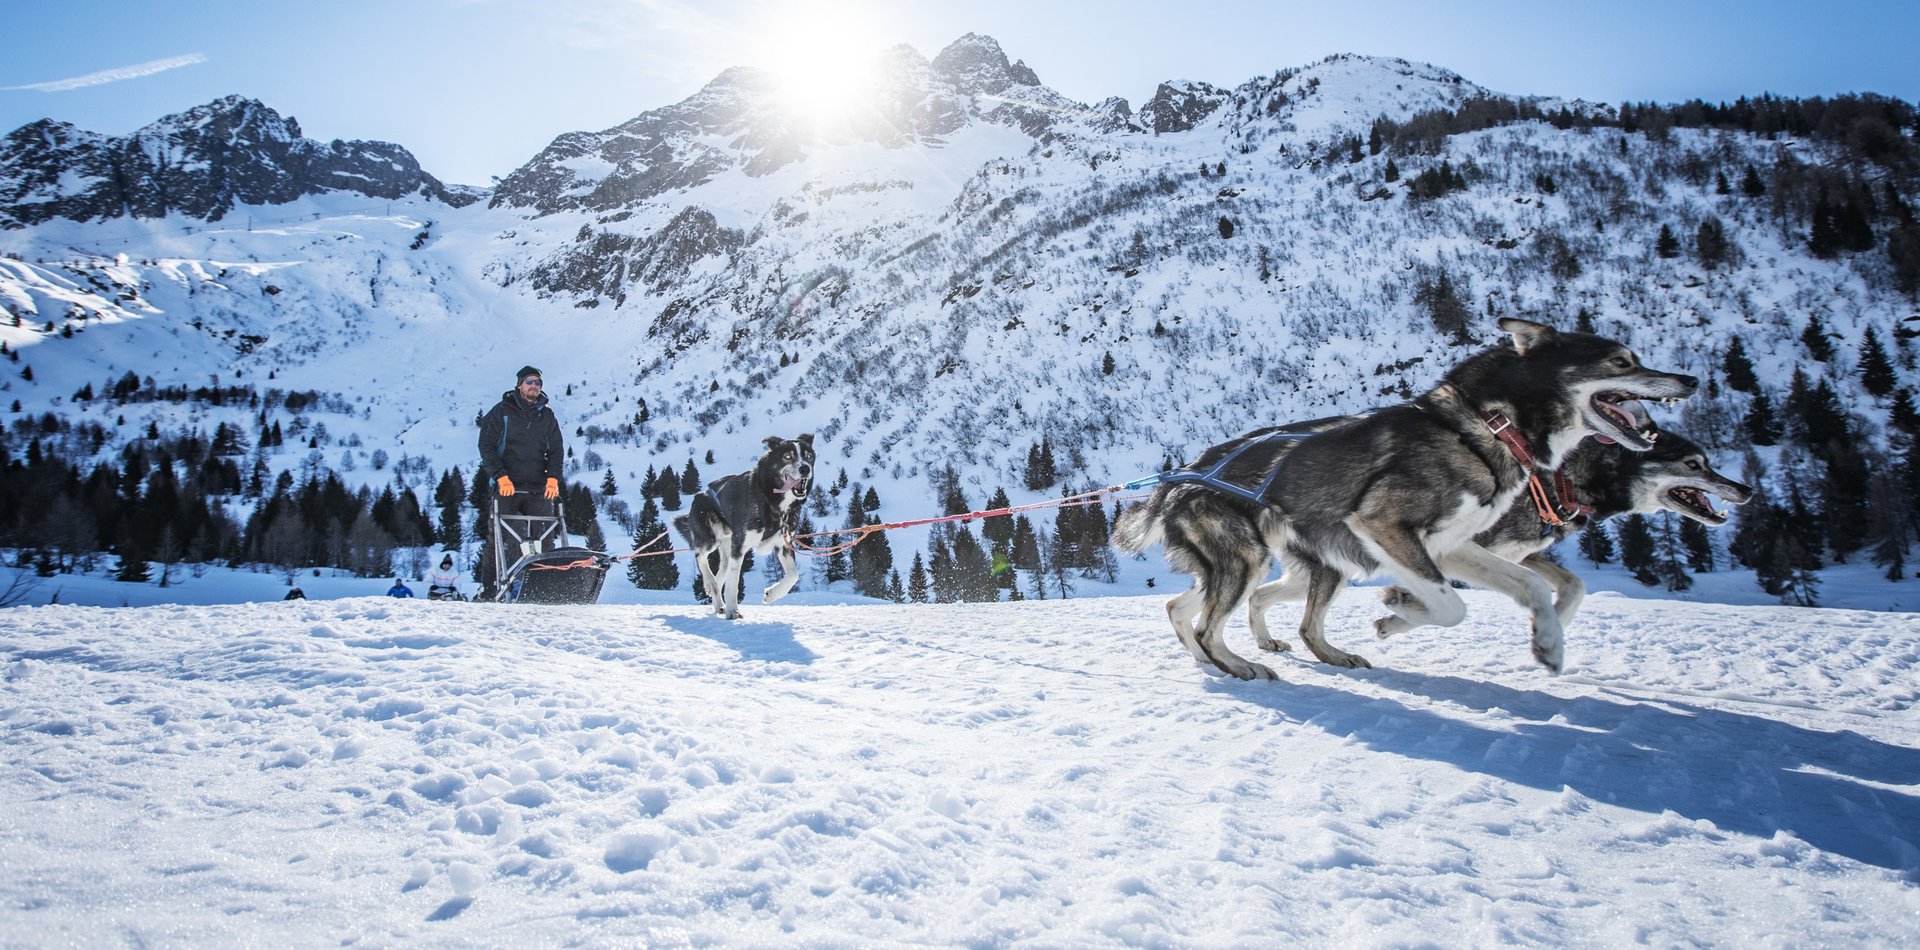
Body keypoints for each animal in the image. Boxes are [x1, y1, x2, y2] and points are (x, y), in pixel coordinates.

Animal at [672, 435, 814, 621]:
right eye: (788, 457)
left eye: (809, 456)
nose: (805, 468)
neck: (772, 501)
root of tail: (699, 495)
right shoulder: (739, 547)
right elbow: (733, 582)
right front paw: (733, 610)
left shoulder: (783, 544)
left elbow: (793, 575)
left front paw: (771, 594)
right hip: (711, 538)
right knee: (700, 555)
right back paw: (710, 584)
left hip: (727, 550)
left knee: (720, 574)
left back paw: (717, 600)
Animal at [1113, 324, 1697, 679]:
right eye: (1621, 361)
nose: (1689, 378)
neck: (1486, 426)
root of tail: (1178, 480)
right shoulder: (1389, 529)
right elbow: (1451, 606)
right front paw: (1397, 612)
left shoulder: (1453, 546)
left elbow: (1531, 588)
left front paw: (1549, 643)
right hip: (1246, 559)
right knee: (1210, 624)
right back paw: (1236, 665)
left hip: (1267, 565)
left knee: (1199, 610)